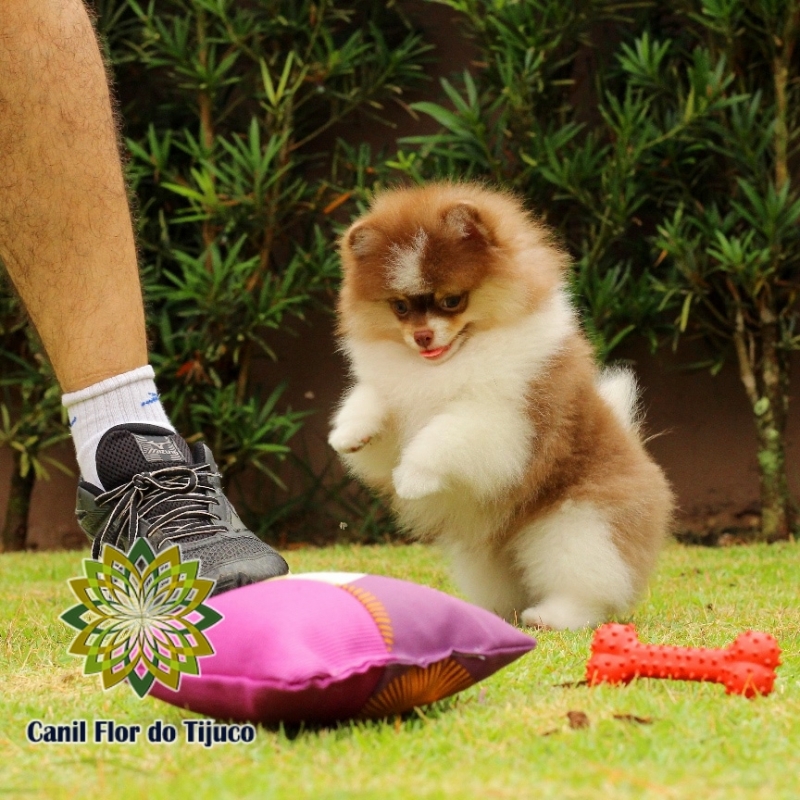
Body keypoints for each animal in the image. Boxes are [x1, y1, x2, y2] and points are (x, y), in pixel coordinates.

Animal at [328, 183, 672, 632]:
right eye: (399, 307)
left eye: (451, 300)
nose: (422, 336)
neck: (449, 362)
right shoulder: (401, 401)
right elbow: (374, 403)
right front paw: (349, 432)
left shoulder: (508, 422)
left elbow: (446, 435)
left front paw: (413, 476)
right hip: (488, 556)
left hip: (581, 523)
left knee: (588, 581)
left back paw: (554, 614)